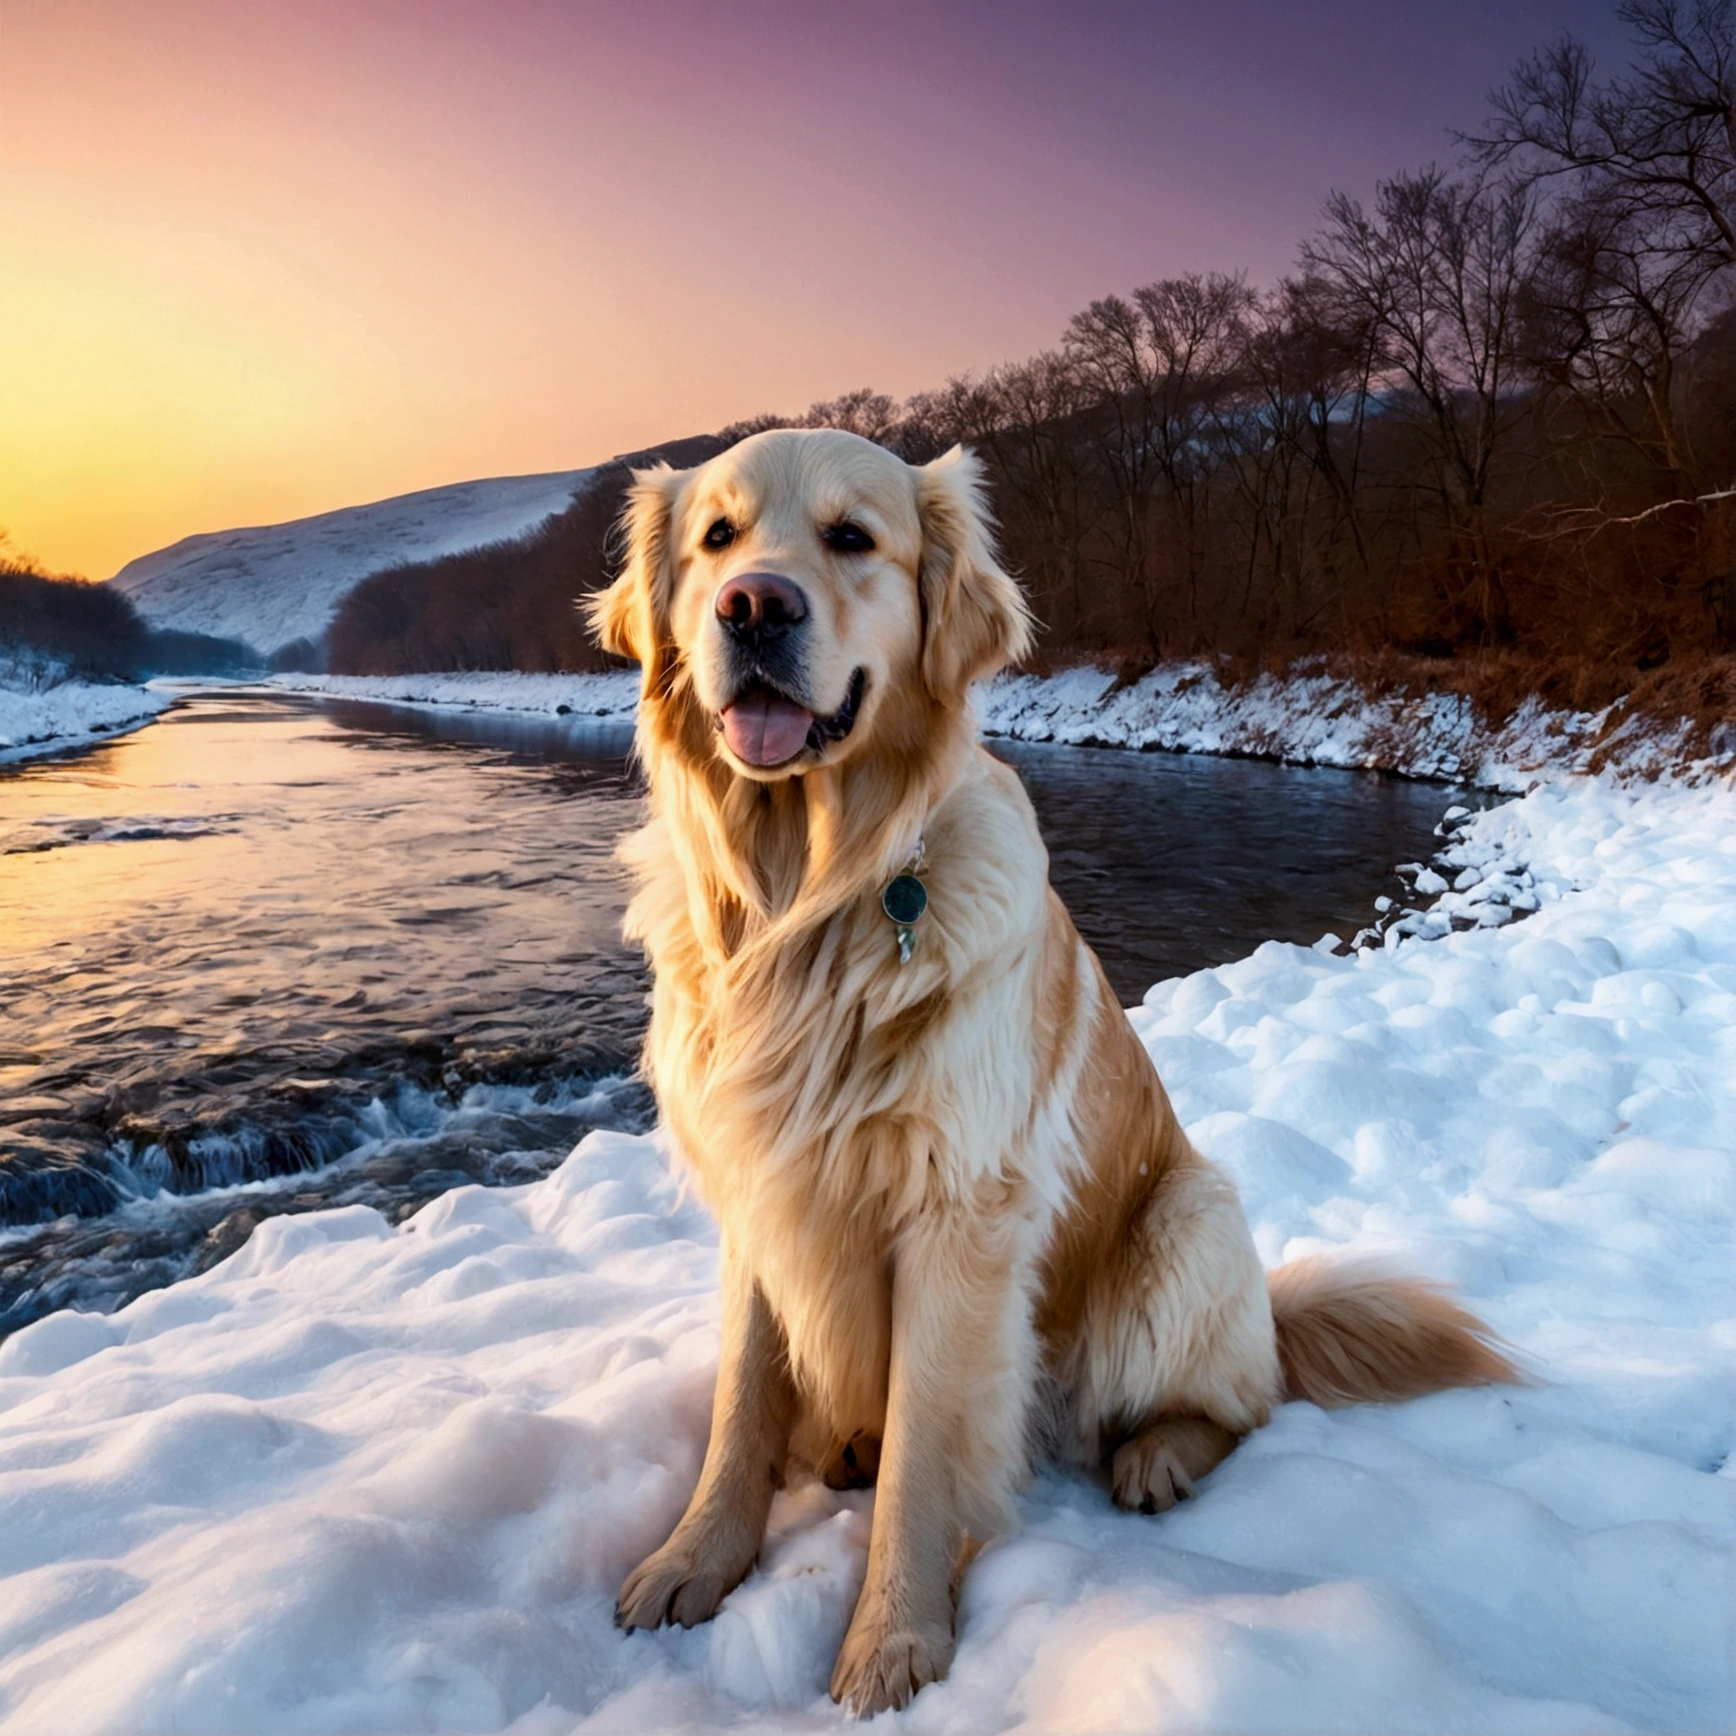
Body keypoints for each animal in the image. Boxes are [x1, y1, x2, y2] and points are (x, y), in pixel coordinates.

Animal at [590, 430, 1513, 1708]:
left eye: (850, 538)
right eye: (716, 538)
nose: (753, 607)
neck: (806, 900)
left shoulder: (959, 1211)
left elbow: (923, 1454)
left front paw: (892, 1638)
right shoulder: (757, 1188)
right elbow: (741, 1400)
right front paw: (694, 1555)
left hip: (1187, 1218)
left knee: (1239, 1402)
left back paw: (1158, 1454)